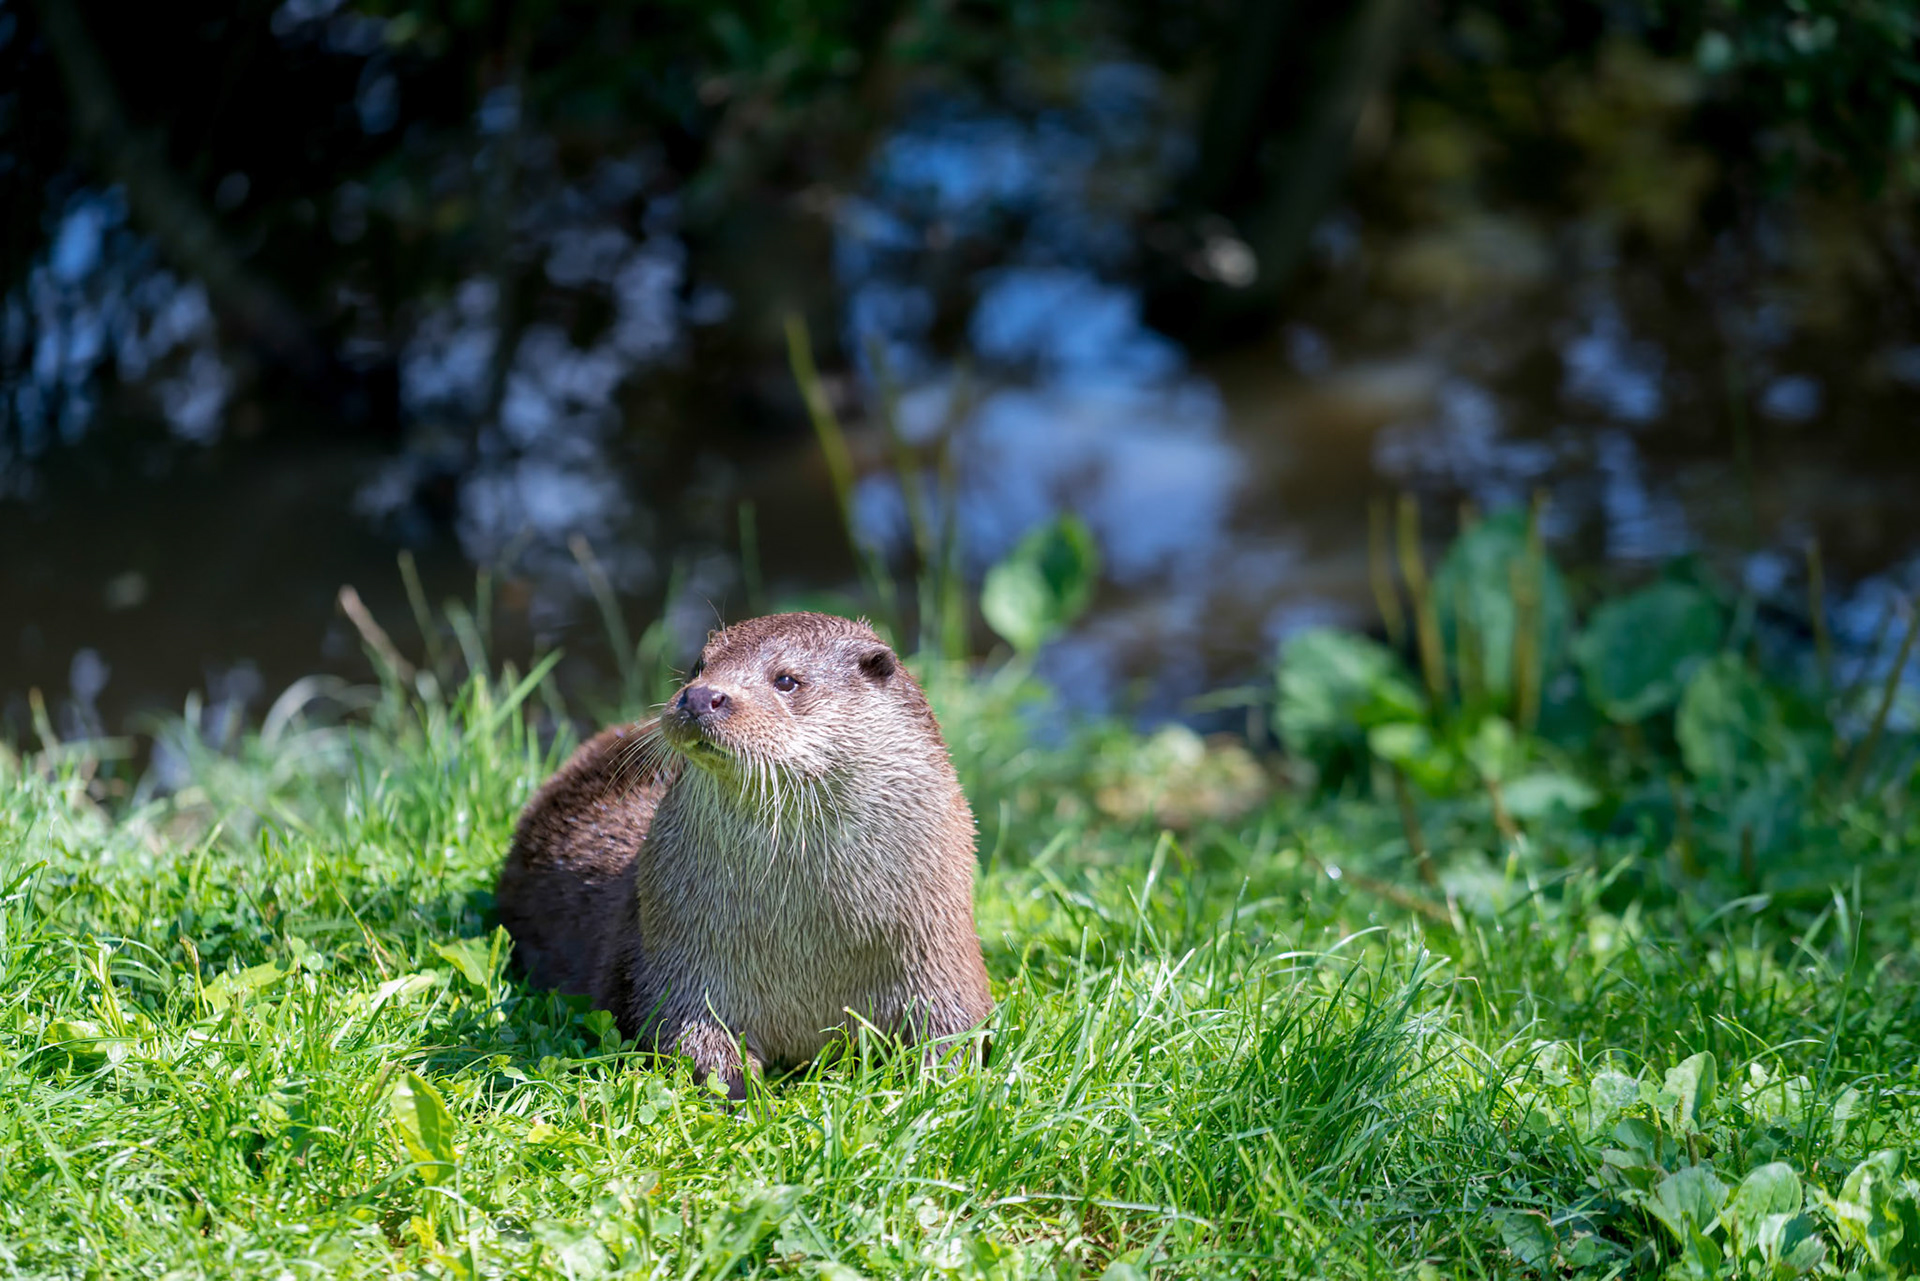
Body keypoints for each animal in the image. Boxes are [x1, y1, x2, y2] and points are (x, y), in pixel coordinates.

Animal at [495, 612, 993, 1098]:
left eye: (787, 680)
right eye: (698, 666)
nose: (700, 696)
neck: (806, 949)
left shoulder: (940, 958)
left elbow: (958, 1036)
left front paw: (938, 1084)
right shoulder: (675, 965)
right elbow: (689, 1040)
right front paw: (745, 1093)